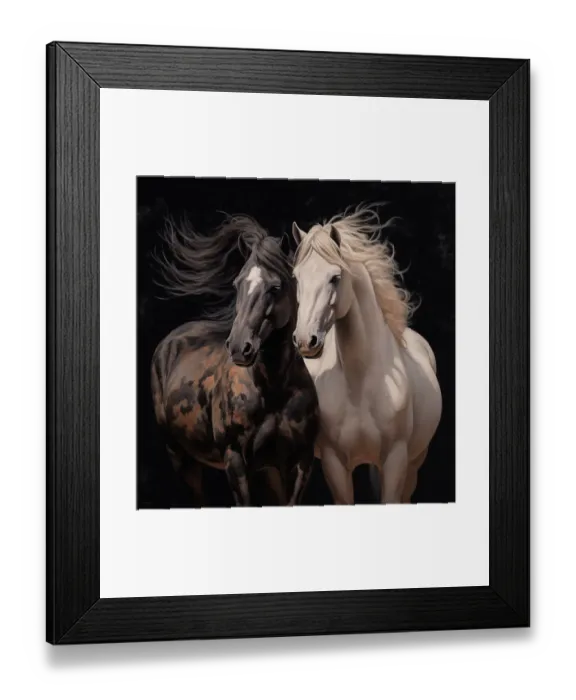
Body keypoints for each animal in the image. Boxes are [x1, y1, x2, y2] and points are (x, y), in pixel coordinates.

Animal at [151, 214, 319, 507]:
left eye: (275, 287)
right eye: (237, 284)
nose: (240, 347)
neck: (272, 389)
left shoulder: (299, 463)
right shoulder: (235, 461)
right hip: (179, 455)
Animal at [291, 205, 442, 505]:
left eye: (335, 278)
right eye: (296, 278)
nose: (305, 341)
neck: (359, 383)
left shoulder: (396, 461)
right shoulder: (334, 463)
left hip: (413, 463)